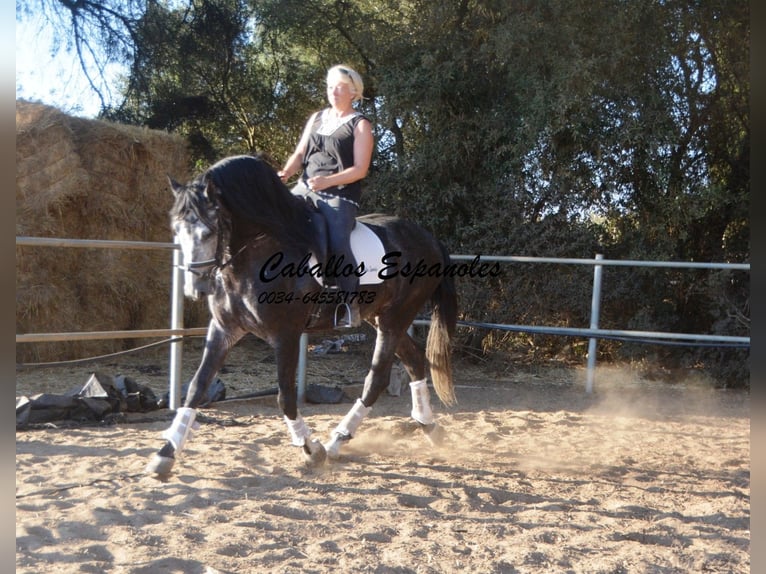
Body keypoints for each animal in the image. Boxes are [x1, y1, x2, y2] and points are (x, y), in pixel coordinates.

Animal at [147, 152, 460, 476]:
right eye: (176, 231)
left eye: (208, 232)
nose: (195, 289)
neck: (257, 251)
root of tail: (430, 239)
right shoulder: (224, 330)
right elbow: (197, 387)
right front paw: (165, 454)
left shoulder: (285, 334)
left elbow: (285, 395)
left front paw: (311, 450)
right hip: (381, 318)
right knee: (413, 361)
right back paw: (429, 426)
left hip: (394, 319)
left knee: (377, 379)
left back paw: (337, 441)